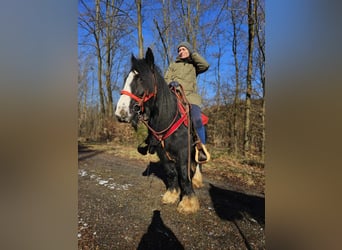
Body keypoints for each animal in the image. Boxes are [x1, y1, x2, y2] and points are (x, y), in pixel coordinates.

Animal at [115, 47, 202, 214]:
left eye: (141, 79)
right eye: (126, 79)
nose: (121, 113)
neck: (168, 118)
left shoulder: (183, 151)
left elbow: (183, 174)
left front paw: (188, 203)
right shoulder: (162, 152)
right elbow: (171, 172)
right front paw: (172, 195)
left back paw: (197, 179)